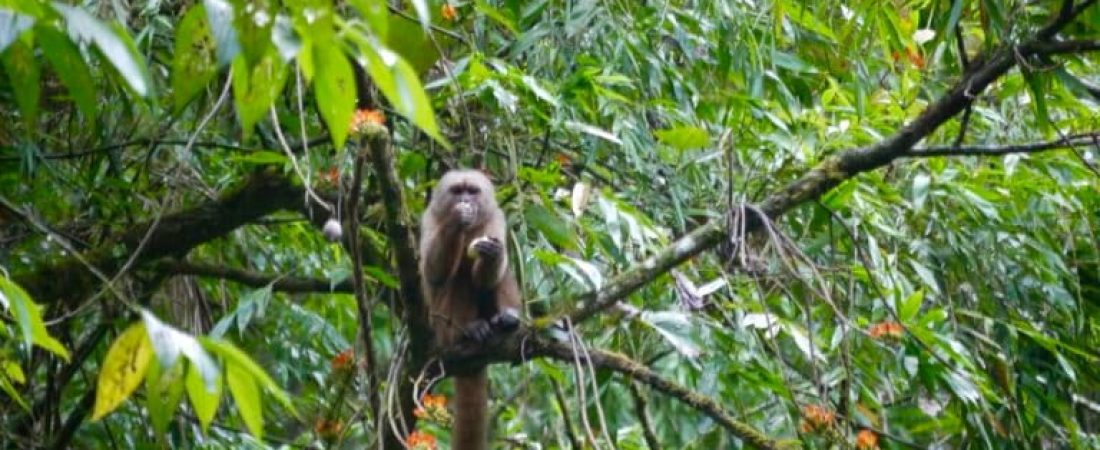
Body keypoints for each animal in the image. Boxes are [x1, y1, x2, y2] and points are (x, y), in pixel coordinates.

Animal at [418, 169, 521, 450]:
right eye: (457, 191)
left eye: (472, 191)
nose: (465, 201)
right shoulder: (430, 217)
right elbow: (434, 273)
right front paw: (456, 219)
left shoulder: (496, 217)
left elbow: (488, 276)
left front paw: (493, 254)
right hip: (442, 327)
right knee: (459, 277)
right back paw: (469, 330)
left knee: (496, 276)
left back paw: (507, 319)